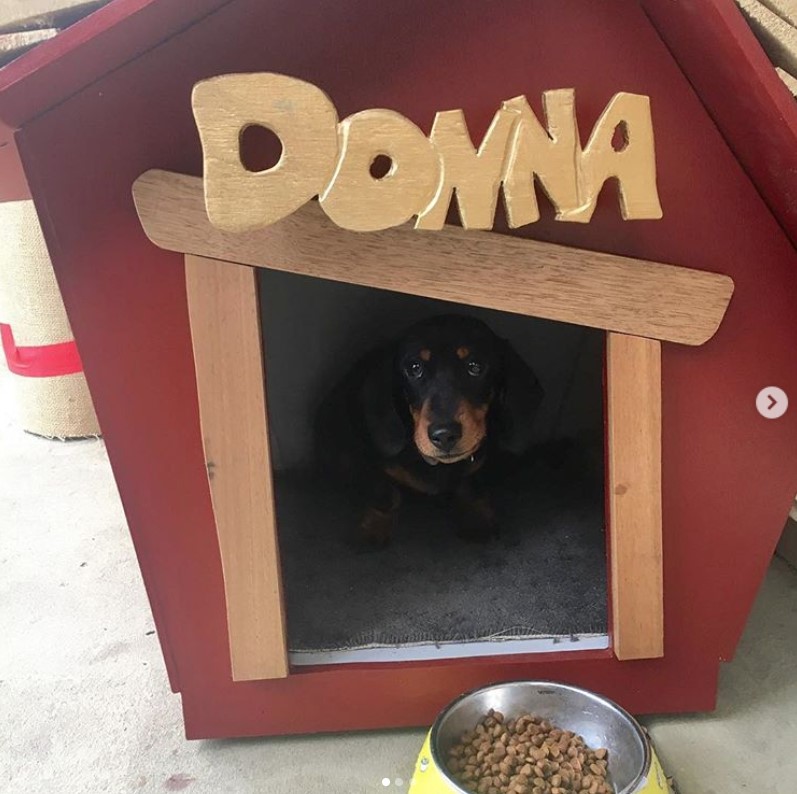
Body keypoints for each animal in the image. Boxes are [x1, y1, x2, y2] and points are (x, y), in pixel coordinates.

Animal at [314, 312, 544, 548]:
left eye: (475, 366)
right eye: (414, 368)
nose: (444, 436)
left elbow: (471, 484)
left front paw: (476, 519)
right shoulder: (366, 461)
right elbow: (386, 493)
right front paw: (373, 529)